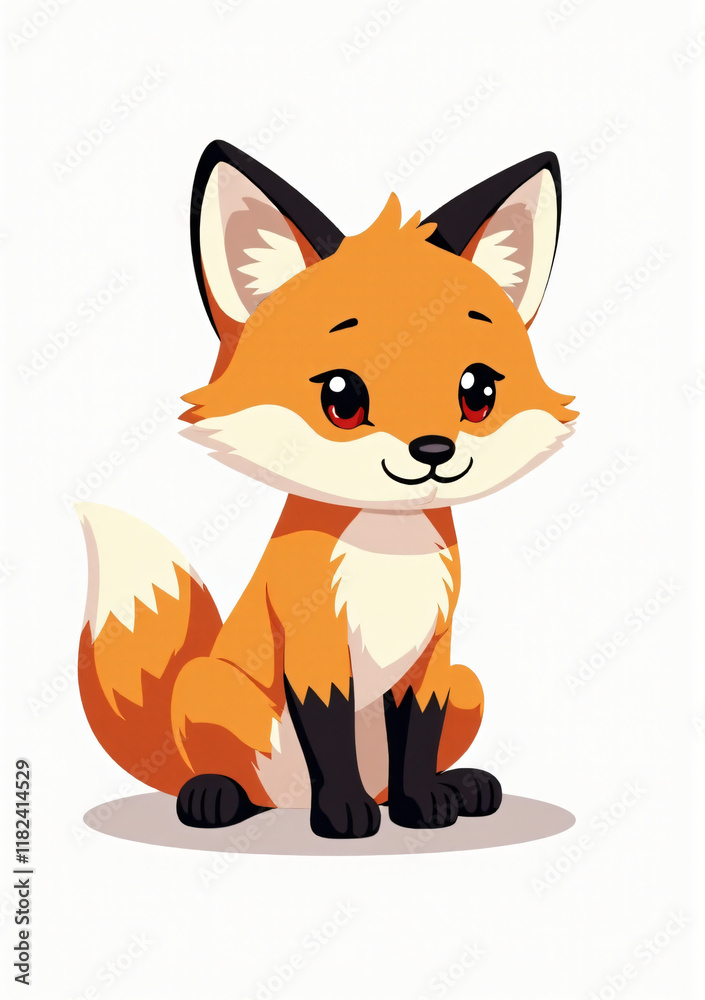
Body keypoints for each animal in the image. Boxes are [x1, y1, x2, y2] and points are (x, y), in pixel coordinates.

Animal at [77, 140, 577, 839]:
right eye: (342, 399)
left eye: (477, 392)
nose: (433, 451)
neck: (388, 553)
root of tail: (284, 800)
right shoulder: (313, 642)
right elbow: (331, 730)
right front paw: (343, 814)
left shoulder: (435, 651)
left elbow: (417, 738)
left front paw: (425, 805)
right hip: (212, 688)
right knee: (222, 777)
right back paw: (217, 795)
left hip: (469, 682)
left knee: (400, 765)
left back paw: (458, 786)